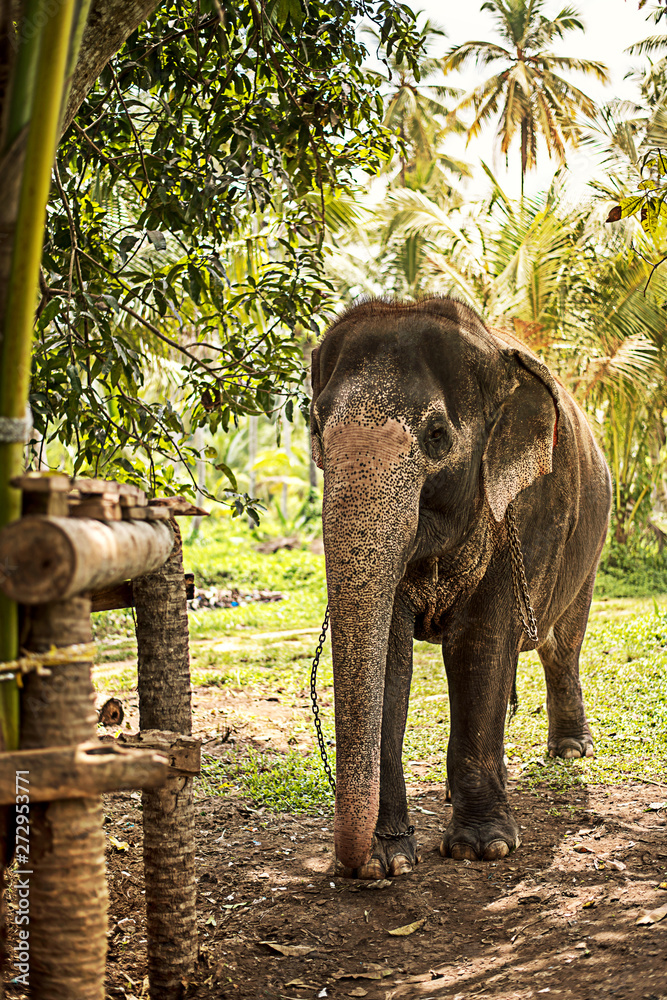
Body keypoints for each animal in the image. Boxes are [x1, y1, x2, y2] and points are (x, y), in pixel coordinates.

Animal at [309, 296, 612, 879]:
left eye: (436, 436)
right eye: (316, 429)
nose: (348, 865)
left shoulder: (529, 509)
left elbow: (482, 644)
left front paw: (482, 848)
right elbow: (391, 658)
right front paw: (386, 861)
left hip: (589, 547)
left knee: (562, 644)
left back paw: (570, 751)